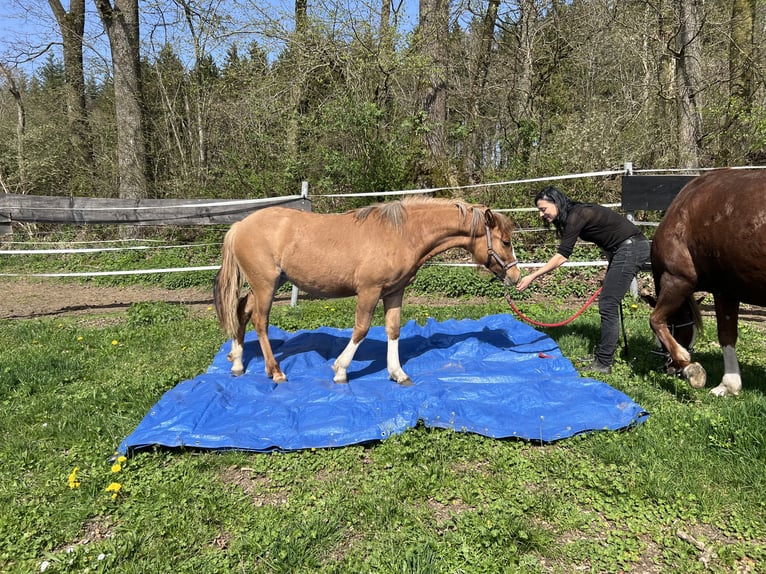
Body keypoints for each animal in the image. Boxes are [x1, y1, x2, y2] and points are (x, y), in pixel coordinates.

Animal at [214, 198, 520, 388]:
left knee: (242, 312)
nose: (516, 277)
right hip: (265, 285)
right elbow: (361, 329)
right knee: (260, 322)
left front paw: (398, 374)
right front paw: (340, 370)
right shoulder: (369, 291)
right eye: (505, 242)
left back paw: (237, 363)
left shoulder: (394, 292)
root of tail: (239, 226)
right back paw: (276, 372)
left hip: (268, 284)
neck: (401, 233)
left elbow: (393, 330)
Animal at [648, 169, 766, 398]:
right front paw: (729, 385)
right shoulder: (725, 291)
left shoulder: (676, 279)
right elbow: (727, 335)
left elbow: (656, 320)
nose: (669, 369)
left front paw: (689, 365)